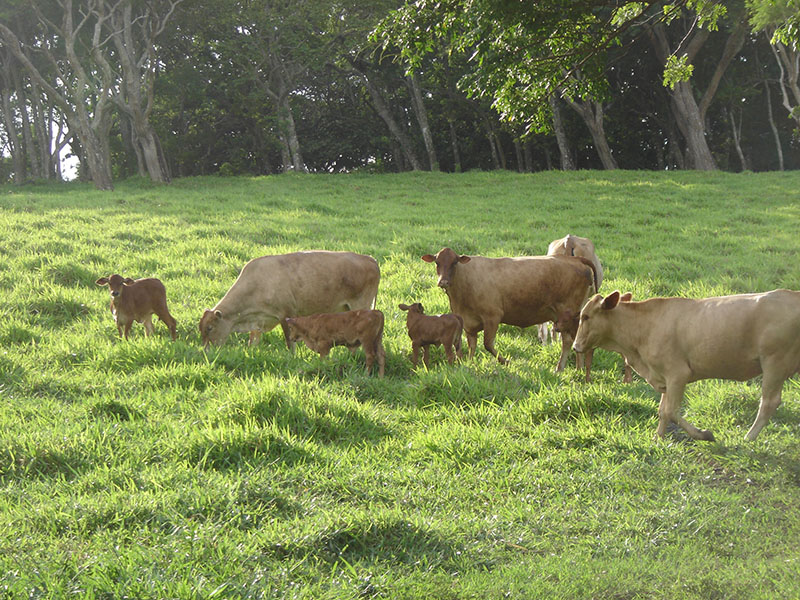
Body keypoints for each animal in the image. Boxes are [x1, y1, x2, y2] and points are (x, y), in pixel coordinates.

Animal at [197, 250, 378, 352]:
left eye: (210, 328)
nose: (206, 351)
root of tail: (370, 259)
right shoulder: (259, 320)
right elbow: (253, 340)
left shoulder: (286, 314)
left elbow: (290, 343)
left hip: (361, 305)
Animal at [422, 246, 596, 368]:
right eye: (437, 263)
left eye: (454, 262)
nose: (443, 282)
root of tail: (576, 259)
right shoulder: (468, 322)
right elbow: (472, 345)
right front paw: (470, 364)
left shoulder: (493, 316)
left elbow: (488, 344)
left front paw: (505, 361)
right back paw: (571, 368)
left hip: (568, 314)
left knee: (569, 340)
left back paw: (566, 368)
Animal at [576, 290, 800, 440]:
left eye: (585, 316)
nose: (576, 346)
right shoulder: (663, 377)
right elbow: (662, 410)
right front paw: (658, 438)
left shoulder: (678, 374)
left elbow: (671, 411)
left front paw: (704, 434)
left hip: (774, 362)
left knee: (769, 402)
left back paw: (749, 437)